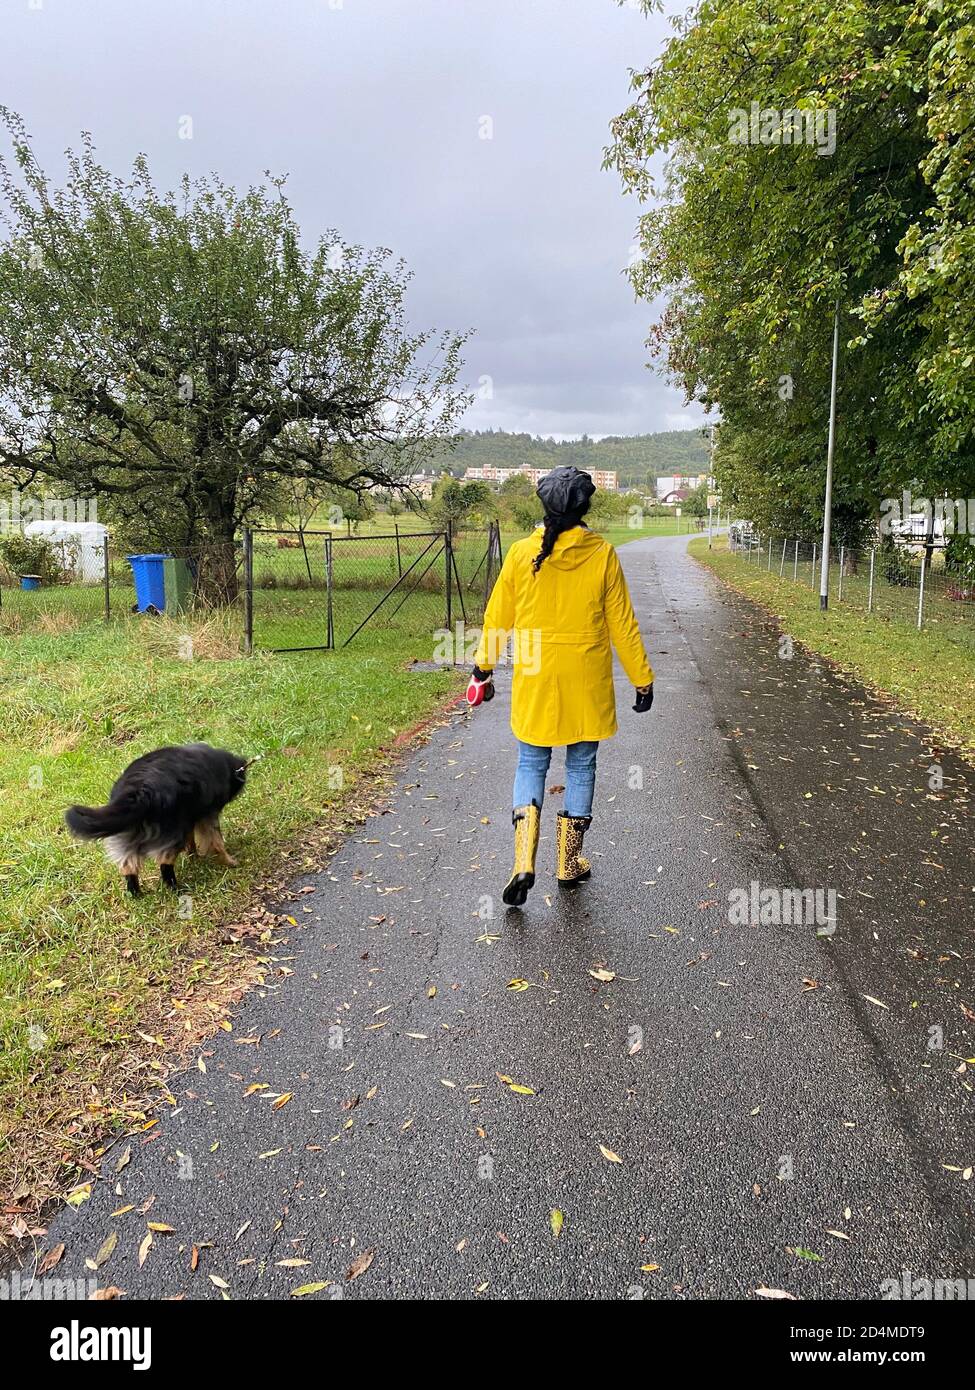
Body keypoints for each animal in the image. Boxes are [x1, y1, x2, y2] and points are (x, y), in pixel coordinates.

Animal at [65, 745, 250, 895]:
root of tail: (138, 791)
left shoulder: (189, 820)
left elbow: (192, 840)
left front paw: (193, 855)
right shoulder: (207, 815)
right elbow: (216, 842)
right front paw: (230, 862)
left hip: (130, 834)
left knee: (128, 866)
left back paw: (136, 894)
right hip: (170, 832)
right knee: (164, 862)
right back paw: (175, 888)